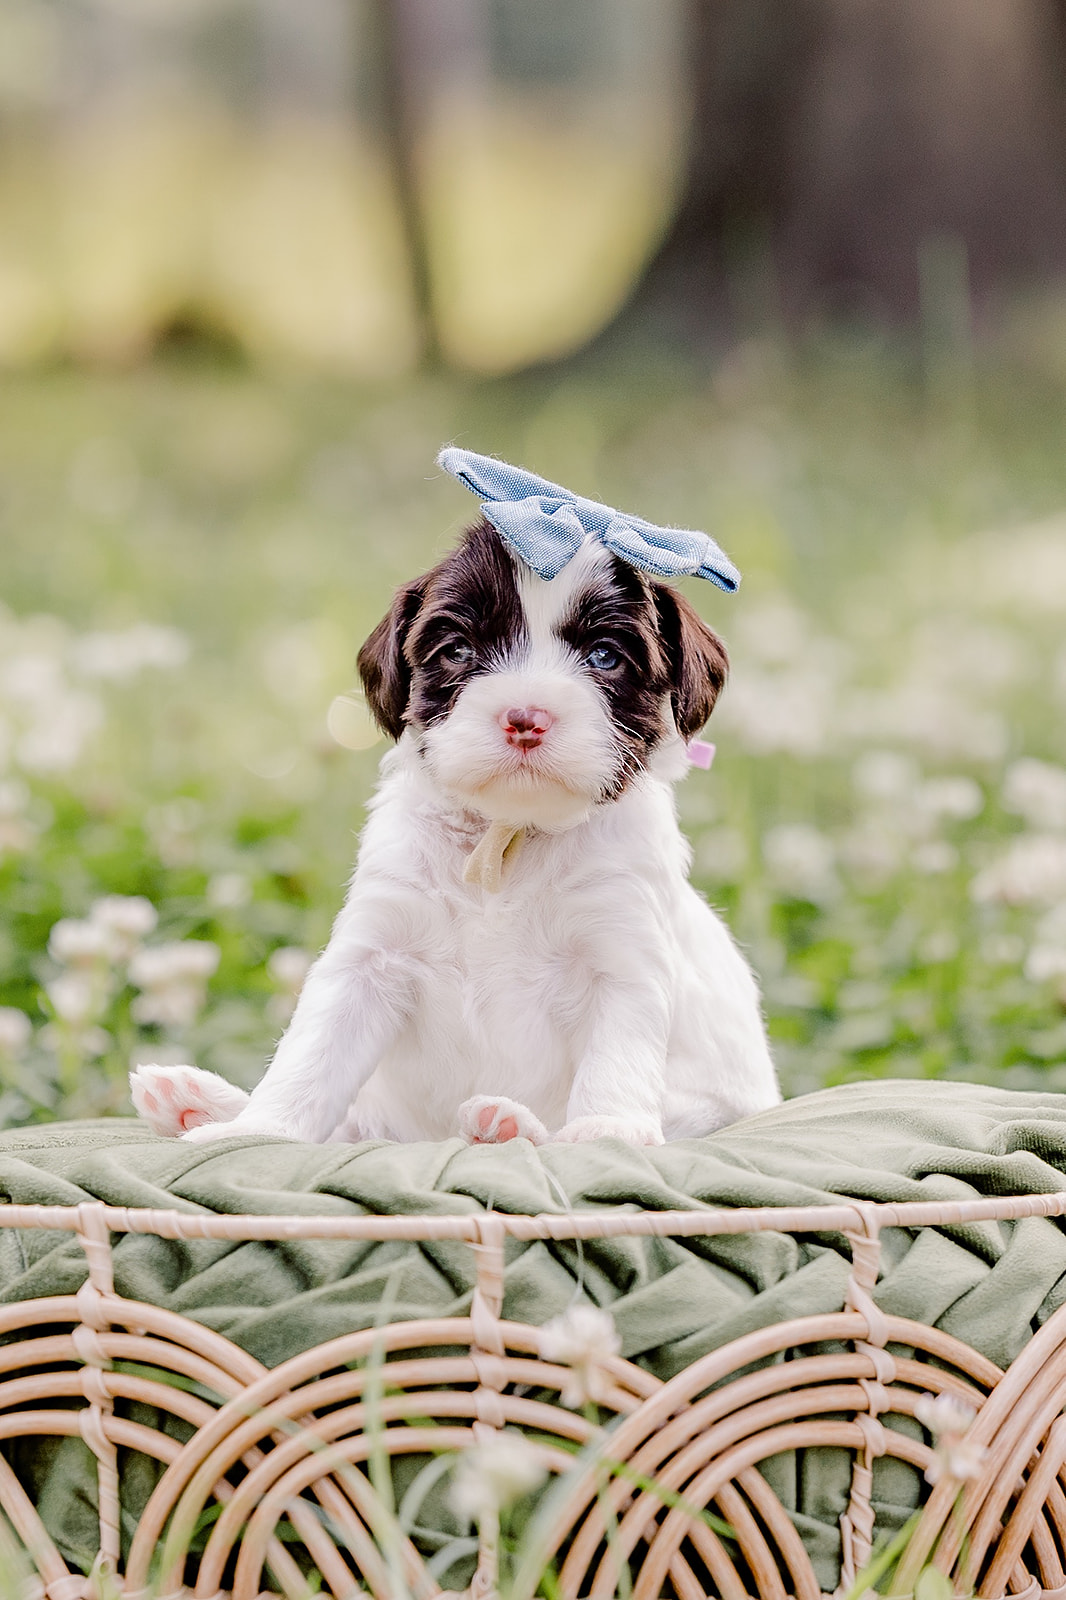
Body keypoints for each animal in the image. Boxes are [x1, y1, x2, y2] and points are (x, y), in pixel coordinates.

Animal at [136, 505, 777, 1145]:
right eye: (457, 651)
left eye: (604, 656)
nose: (526, 718)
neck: (507, 839)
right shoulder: (371, 957)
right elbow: (310, 1059)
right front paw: (258, 1130)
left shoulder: (622, 958)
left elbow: (616, 1059)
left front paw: (606, 1130)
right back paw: (203, 1104)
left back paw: (508, 1124)